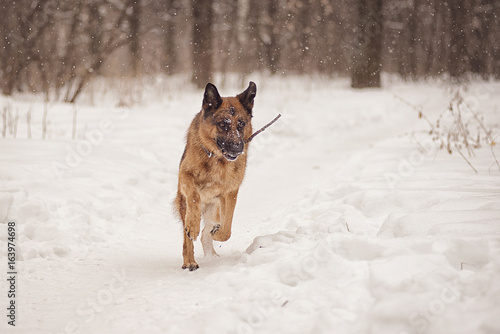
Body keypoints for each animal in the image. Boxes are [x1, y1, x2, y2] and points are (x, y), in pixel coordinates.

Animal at [174, 82, 256, 270]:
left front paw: (217, 233)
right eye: (223, 125)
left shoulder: (230, 193)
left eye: (241, 124)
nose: (237, 148)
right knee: (187, 239)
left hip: (214, 206)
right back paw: (190, 260)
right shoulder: (185, 176)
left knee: (207, 231)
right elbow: (194, 196)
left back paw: (212, 251)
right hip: (184, 205)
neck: (217, 159)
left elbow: (227, 229)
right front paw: (194, 224)